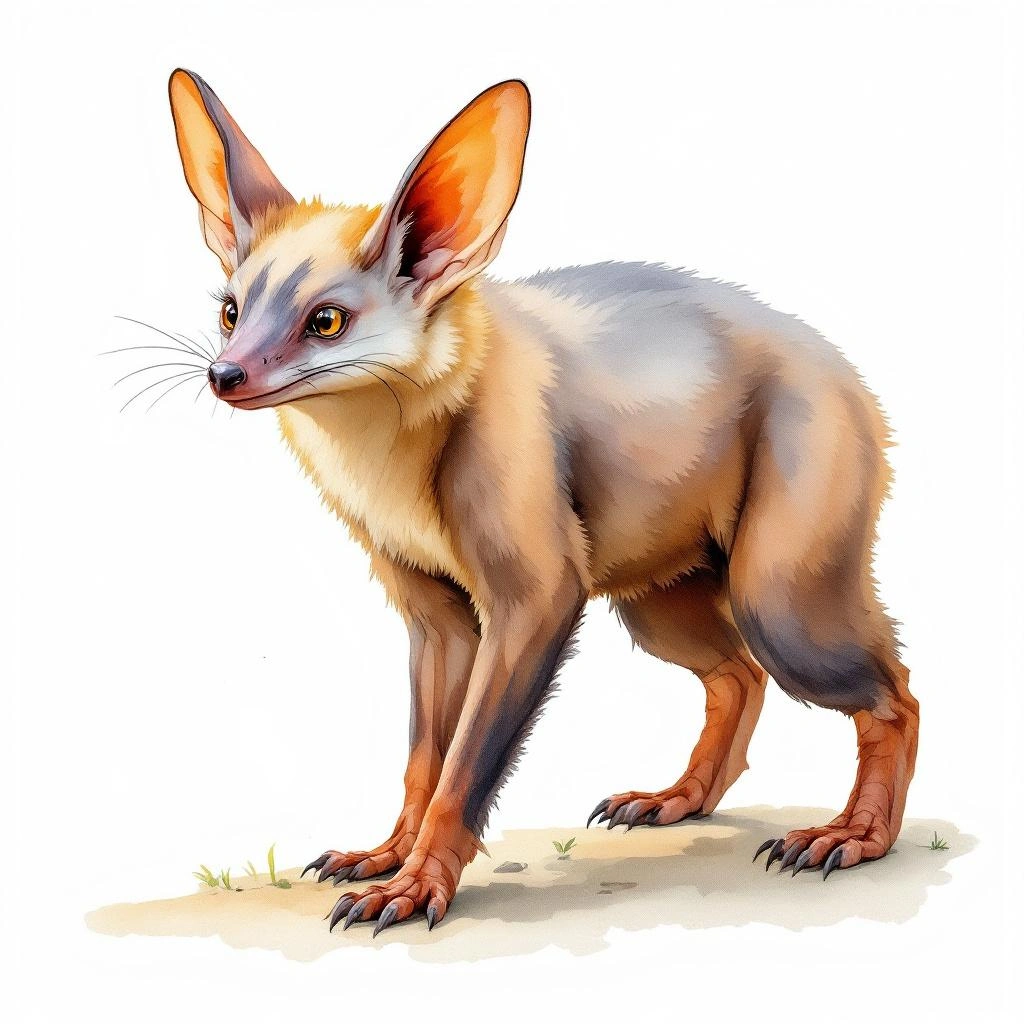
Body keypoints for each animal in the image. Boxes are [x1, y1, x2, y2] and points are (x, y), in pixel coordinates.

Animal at [165, 69, 919, 935]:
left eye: (326, 321)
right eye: (229, 311)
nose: (224, 375)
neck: (388, 455)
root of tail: (850, 379)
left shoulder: (537, 598)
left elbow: (466, 766)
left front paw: (416, 887)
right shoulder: (438, 618)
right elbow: (424, 759)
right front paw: (386, 856)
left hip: (777, 595)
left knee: (893, 693)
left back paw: (854, 836)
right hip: (659, 597)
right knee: (739, 676)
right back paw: (677, 800)